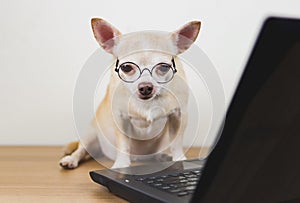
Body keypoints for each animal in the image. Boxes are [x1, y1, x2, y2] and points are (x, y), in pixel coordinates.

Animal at [59, 18, 200, 169]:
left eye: (164, 67)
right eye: (126, 67)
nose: (145, 87)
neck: (147, 103)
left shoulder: (179, 115)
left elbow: (176, 143)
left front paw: (179, 159)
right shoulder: (120, 118)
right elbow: (123, 145)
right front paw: (121, 165)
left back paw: (163, 157)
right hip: (90, 135)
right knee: (81, 151)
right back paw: (71, 159)